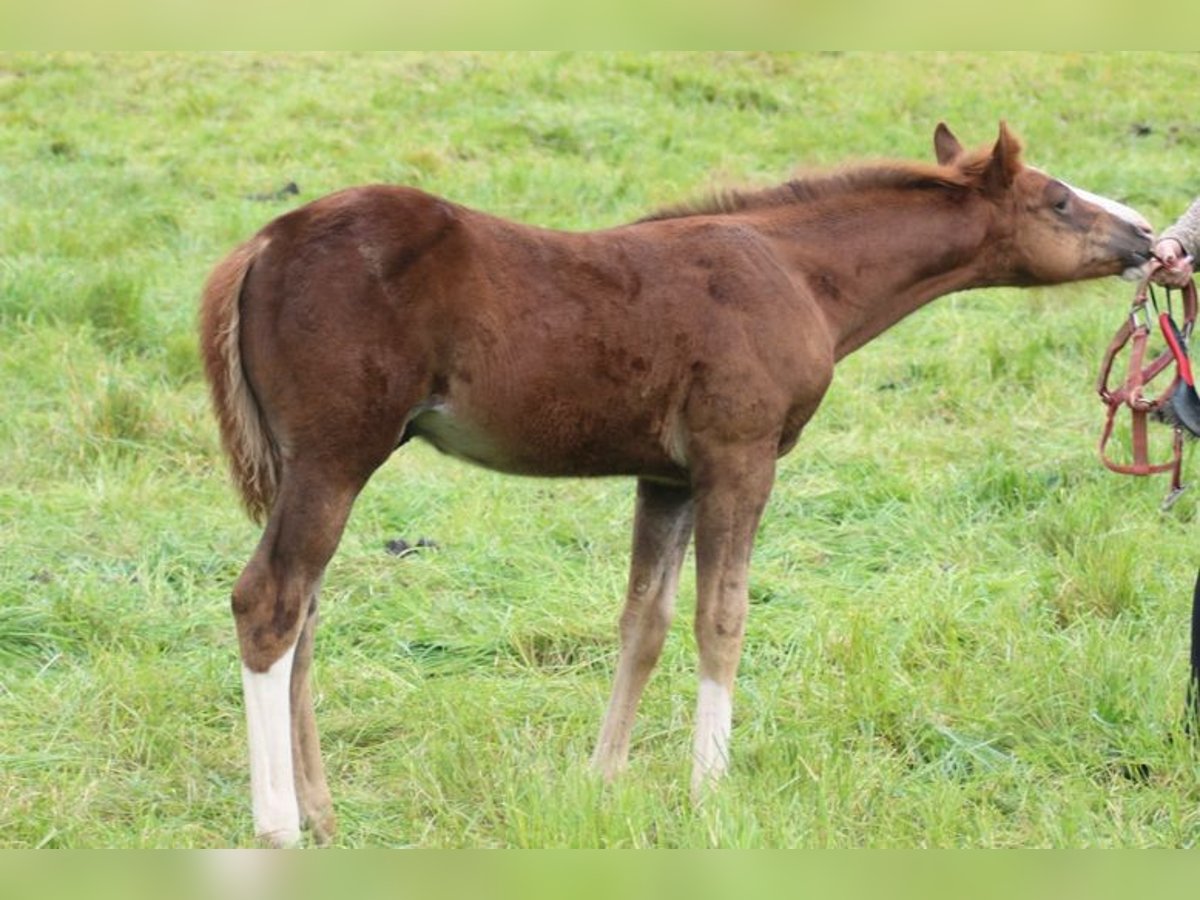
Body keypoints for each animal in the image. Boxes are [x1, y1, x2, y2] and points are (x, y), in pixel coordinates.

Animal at [201, 121, 1147, 844]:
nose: (1145, 236)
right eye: (1058, 200)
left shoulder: (667, 478)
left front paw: (601, 783)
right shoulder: (740, 456)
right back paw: (278, 826)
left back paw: (323, 813)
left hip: (303, 467)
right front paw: (710, 791)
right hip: (334, 459)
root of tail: (262, 245)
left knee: (304, 614)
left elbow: (643, 622)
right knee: (269, 603)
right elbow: (720, 618)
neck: (795, 272)